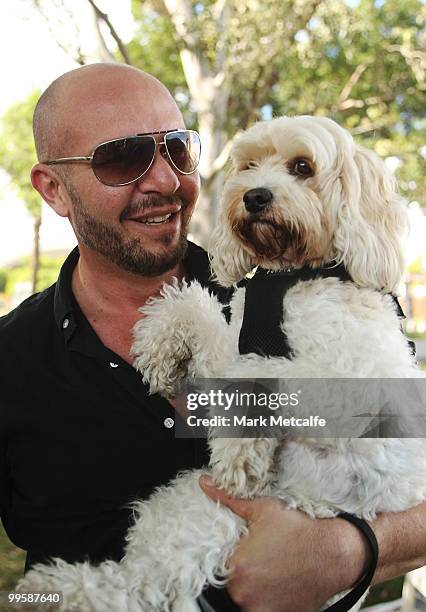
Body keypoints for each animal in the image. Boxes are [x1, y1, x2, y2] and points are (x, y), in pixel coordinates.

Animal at [18, 116, 426, 612]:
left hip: (223, 512)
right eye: (249, 166)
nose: (254, 196)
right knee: (143, 580)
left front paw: (238, 448)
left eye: (303, 167)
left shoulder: (348, 384)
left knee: (149, 585)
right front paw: (158, 347)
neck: (289, 274)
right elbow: (198, 311)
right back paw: (60, 588)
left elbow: (255, 375)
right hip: (192, 507)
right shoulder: (233, 341)